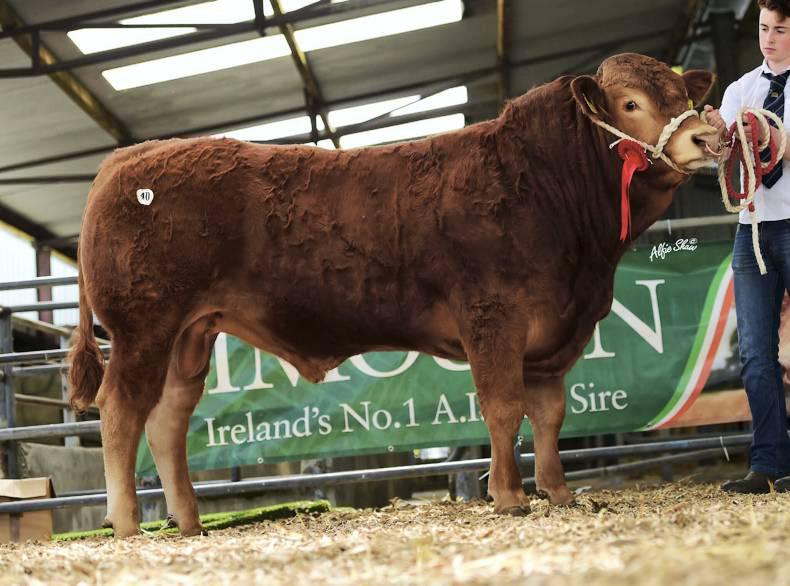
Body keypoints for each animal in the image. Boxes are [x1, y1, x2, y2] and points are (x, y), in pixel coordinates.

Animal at [68, 53, 719, 537]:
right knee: (121, 409)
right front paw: (509, 496)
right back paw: (126, 524)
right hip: (143, 326)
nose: (704, 137)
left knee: (167, 419)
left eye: (685, 99)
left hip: (190, 334)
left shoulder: (555, 332)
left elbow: (551, 414)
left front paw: (558, 492)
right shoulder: (493, 316)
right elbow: (504, 407)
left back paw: (190, 523)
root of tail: (134, 153)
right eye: (630, 103)